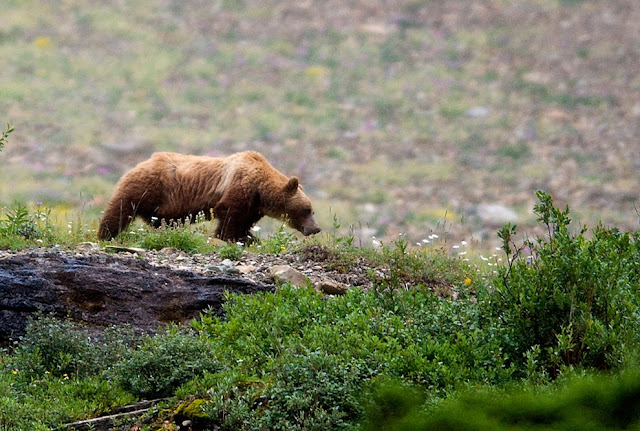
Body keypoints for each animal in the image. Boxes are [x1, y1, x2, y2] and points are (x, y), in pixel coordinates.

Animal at [96, 150, 320, 241]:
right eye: (307, 209)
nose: (315, 229)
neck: (261, 189)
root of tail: (139, 164)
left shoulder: (254, 204)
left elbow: (243, 220)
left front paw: (248, 237)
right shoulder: (239, 186)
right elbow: (229, 214)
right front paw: (233, 237)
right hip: (147, 186)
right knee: (120, 210)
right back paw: (106, 234)